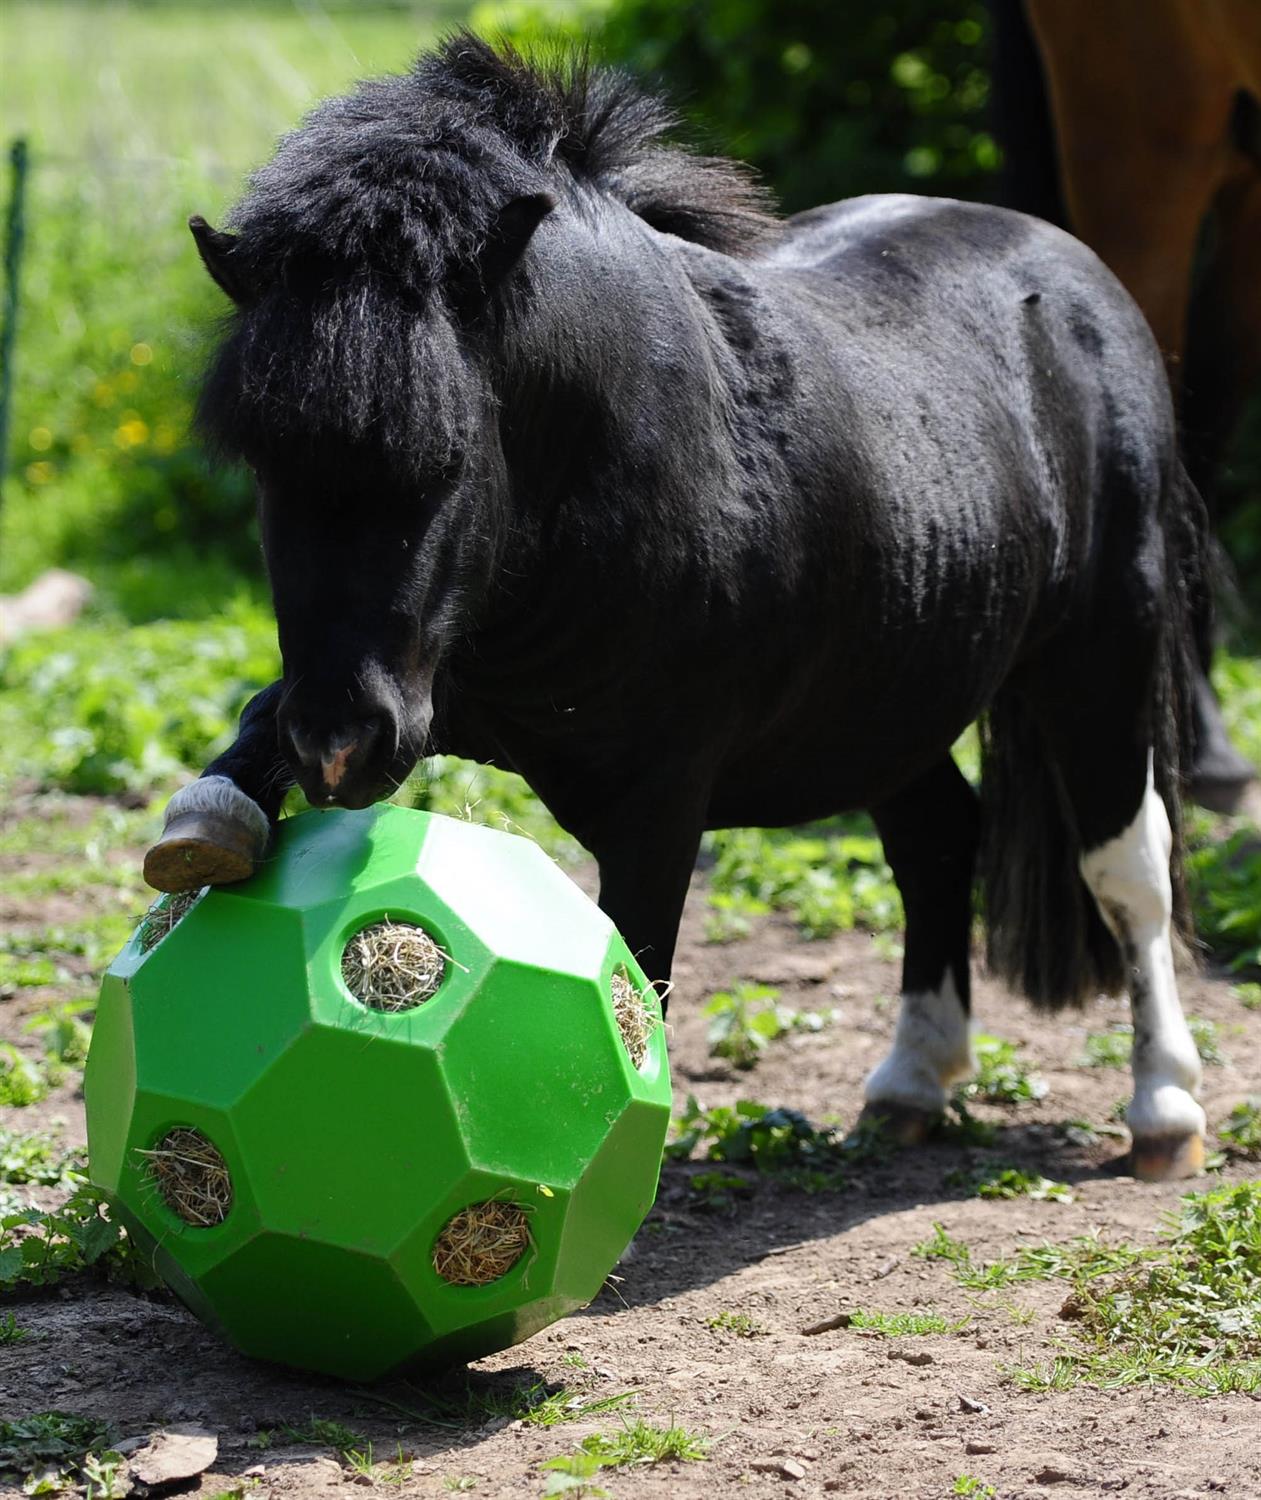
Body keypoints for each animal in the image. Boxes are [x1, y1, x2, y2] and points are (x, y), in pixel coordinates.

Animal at [147, 35, 1211, 1176]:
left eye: (450, 456)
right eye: (266, 468)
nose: (339, 751)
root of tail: (1078, 279)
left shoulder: (655, 797)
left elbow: (637, 971)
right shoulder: (433, 695)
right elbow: (259, 718)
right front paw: (207, 823)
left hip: (1100, 647)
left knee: (1126, 863)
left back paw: (1163, 1110)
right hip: (880, 699)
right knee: (936, 839)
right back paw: (909, 1087)